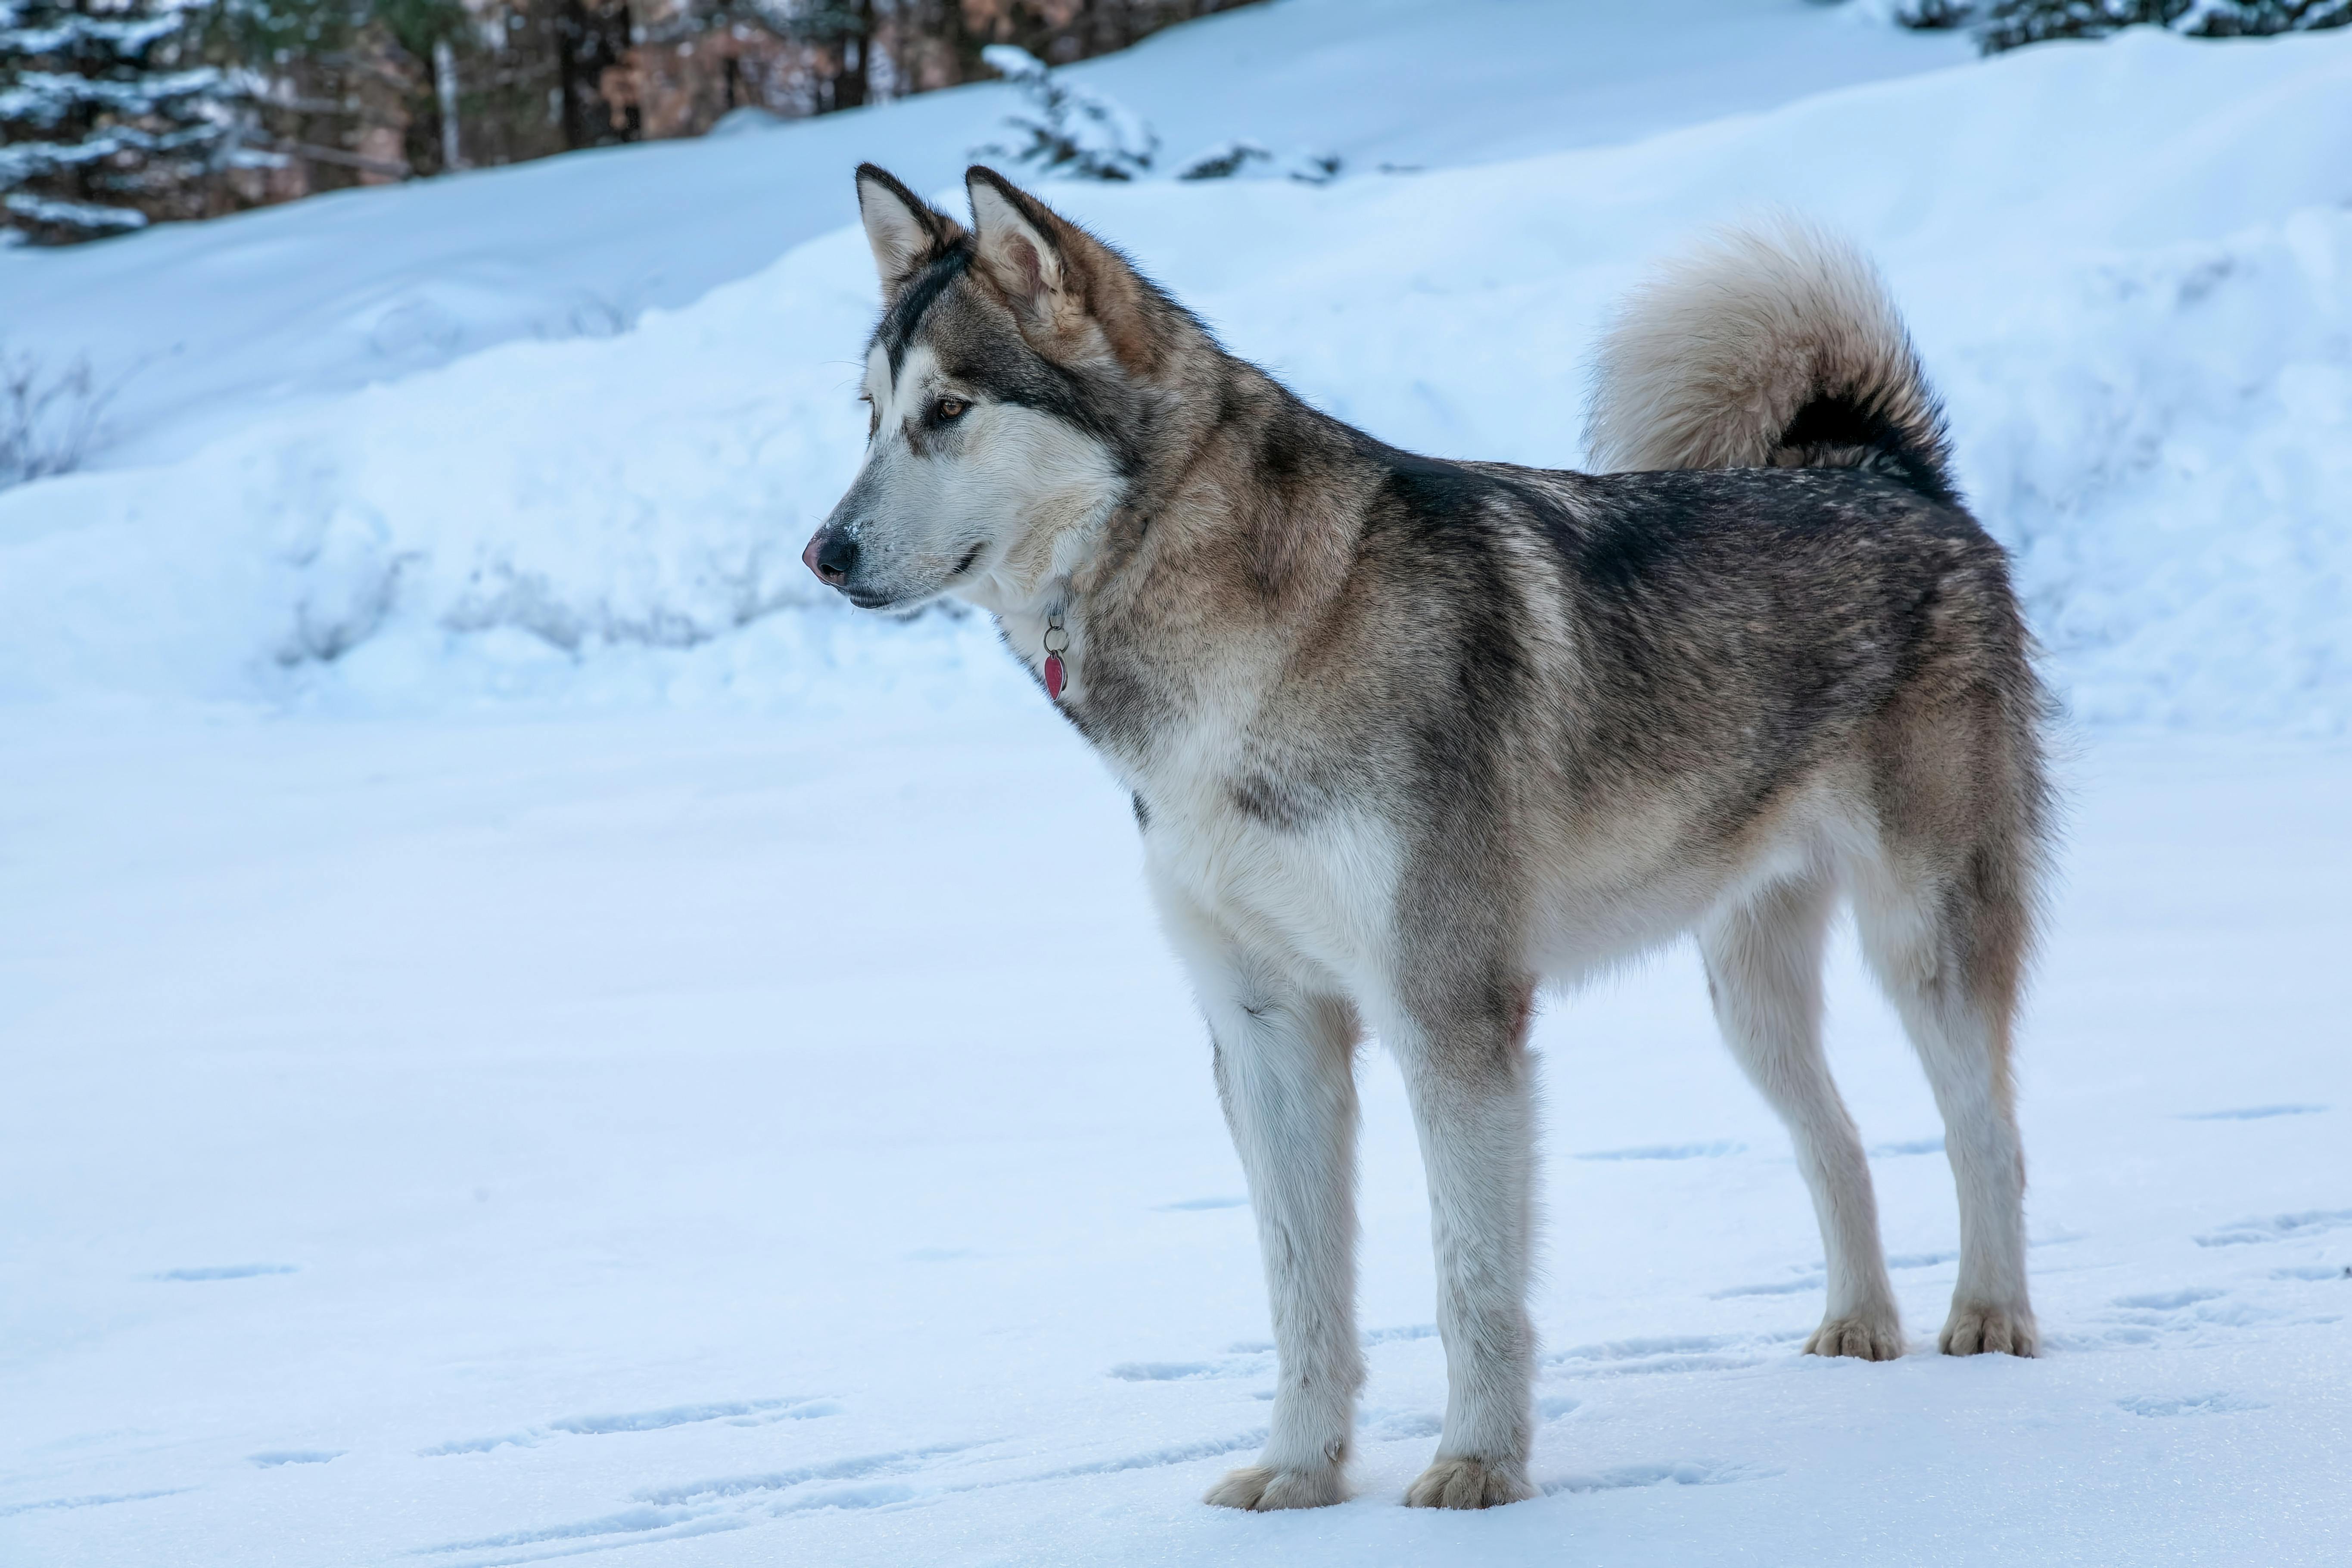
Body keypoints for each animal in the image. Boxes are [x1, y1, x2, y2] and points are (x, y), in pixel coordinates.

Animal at [814, 165, 2060, 1514]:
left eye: (948, 411)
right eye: (868, 417)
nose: (820, 554)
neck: (1239, 656)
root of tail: (1887, 474)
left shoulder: (1446, 1013)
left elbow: (1470, 1280)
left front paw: (1476, 1468)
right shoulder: (1267, 1032)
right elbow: (1300, 1291)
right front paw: (1297, 1475)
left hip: (1921, 944)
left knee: (1986, 1131)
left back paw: (1990, 1324)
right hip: (1745, 996)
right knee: (1839, 1145)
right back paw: (1858, 1330)